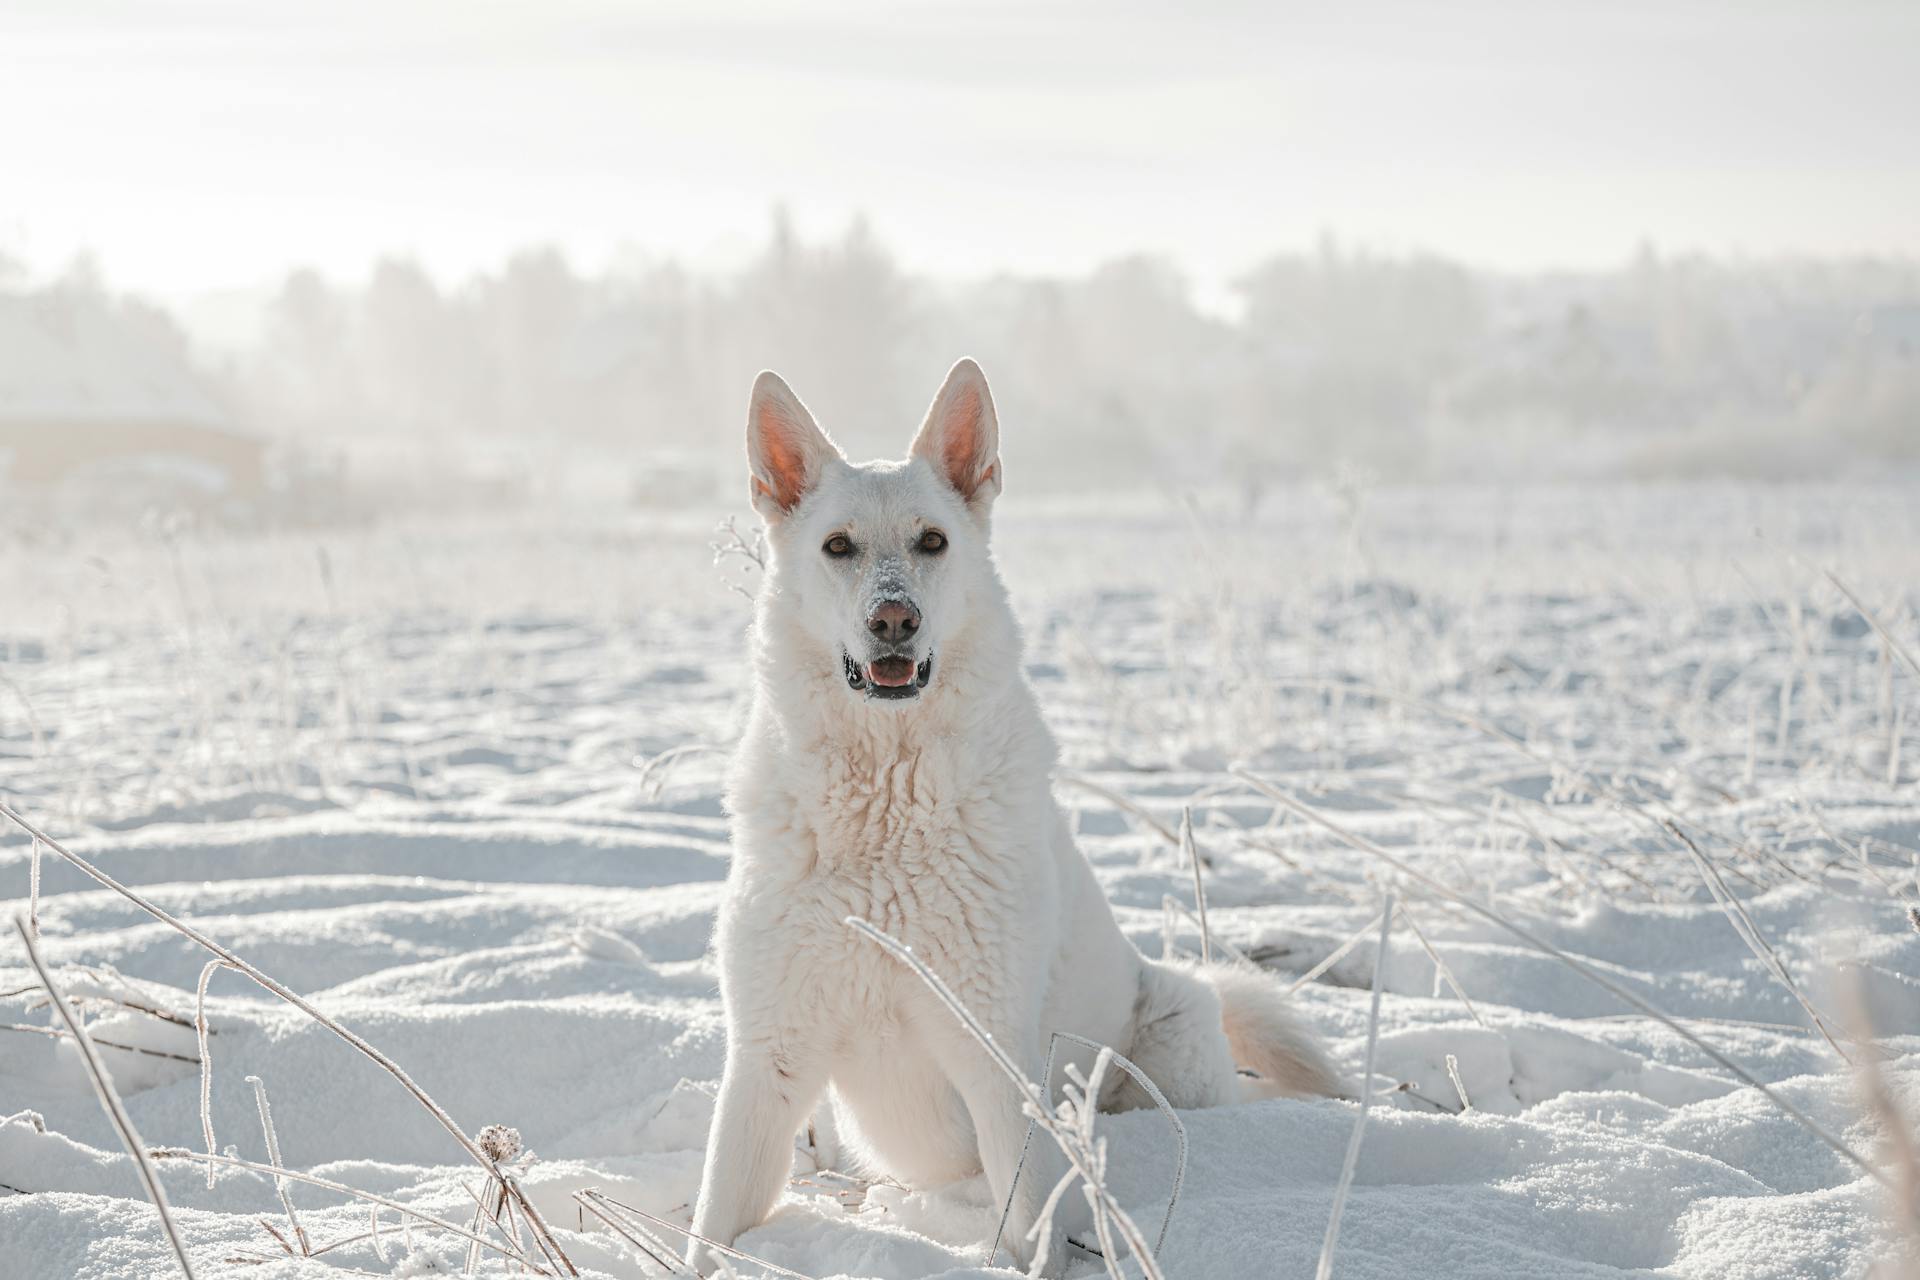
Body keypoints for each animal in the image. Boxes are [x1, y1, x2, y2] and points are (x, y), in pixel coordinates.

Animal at [691, 358, 1336, 1274]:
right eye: (838, 547)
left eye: (932, 542)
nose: (894, 620)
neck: (886, 804)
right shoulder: (769, 1057)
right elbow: (710, 1229)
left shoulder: (992, 1054)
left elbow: (1029, 1217)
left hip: (1170, 1046)